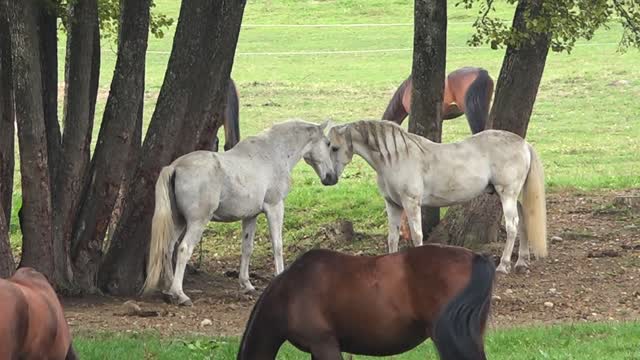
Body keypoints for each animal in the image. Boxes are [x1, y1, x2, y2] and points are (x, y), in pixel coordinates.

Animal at [142, 120, 338, 304]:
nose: (332, 178)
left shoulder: (250, 216)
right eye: (328, 143)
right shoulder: (275, 207)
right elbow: (277, 246)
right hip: (197, 223)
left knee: (168, 248)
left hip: (179, 221)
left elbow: (247, 248)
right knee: (183, 249)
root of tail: (175, 167)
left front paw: (247, 284)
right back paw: (180, 294)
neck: (272, 153)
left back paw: (168, 289)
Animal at [328, 120, 548, 272]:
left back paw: (503, 265)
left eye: (334, 147)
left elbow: (417, 235)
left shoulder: (411, 203)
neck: (397, 157)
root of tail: (523, 144)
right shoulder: (393, 204)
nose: (328, 178)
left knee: (512, 226)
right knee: (523, 220)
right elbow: (392, 237)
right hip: (514, 196)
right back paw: (521, 262)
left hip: (507, 194)